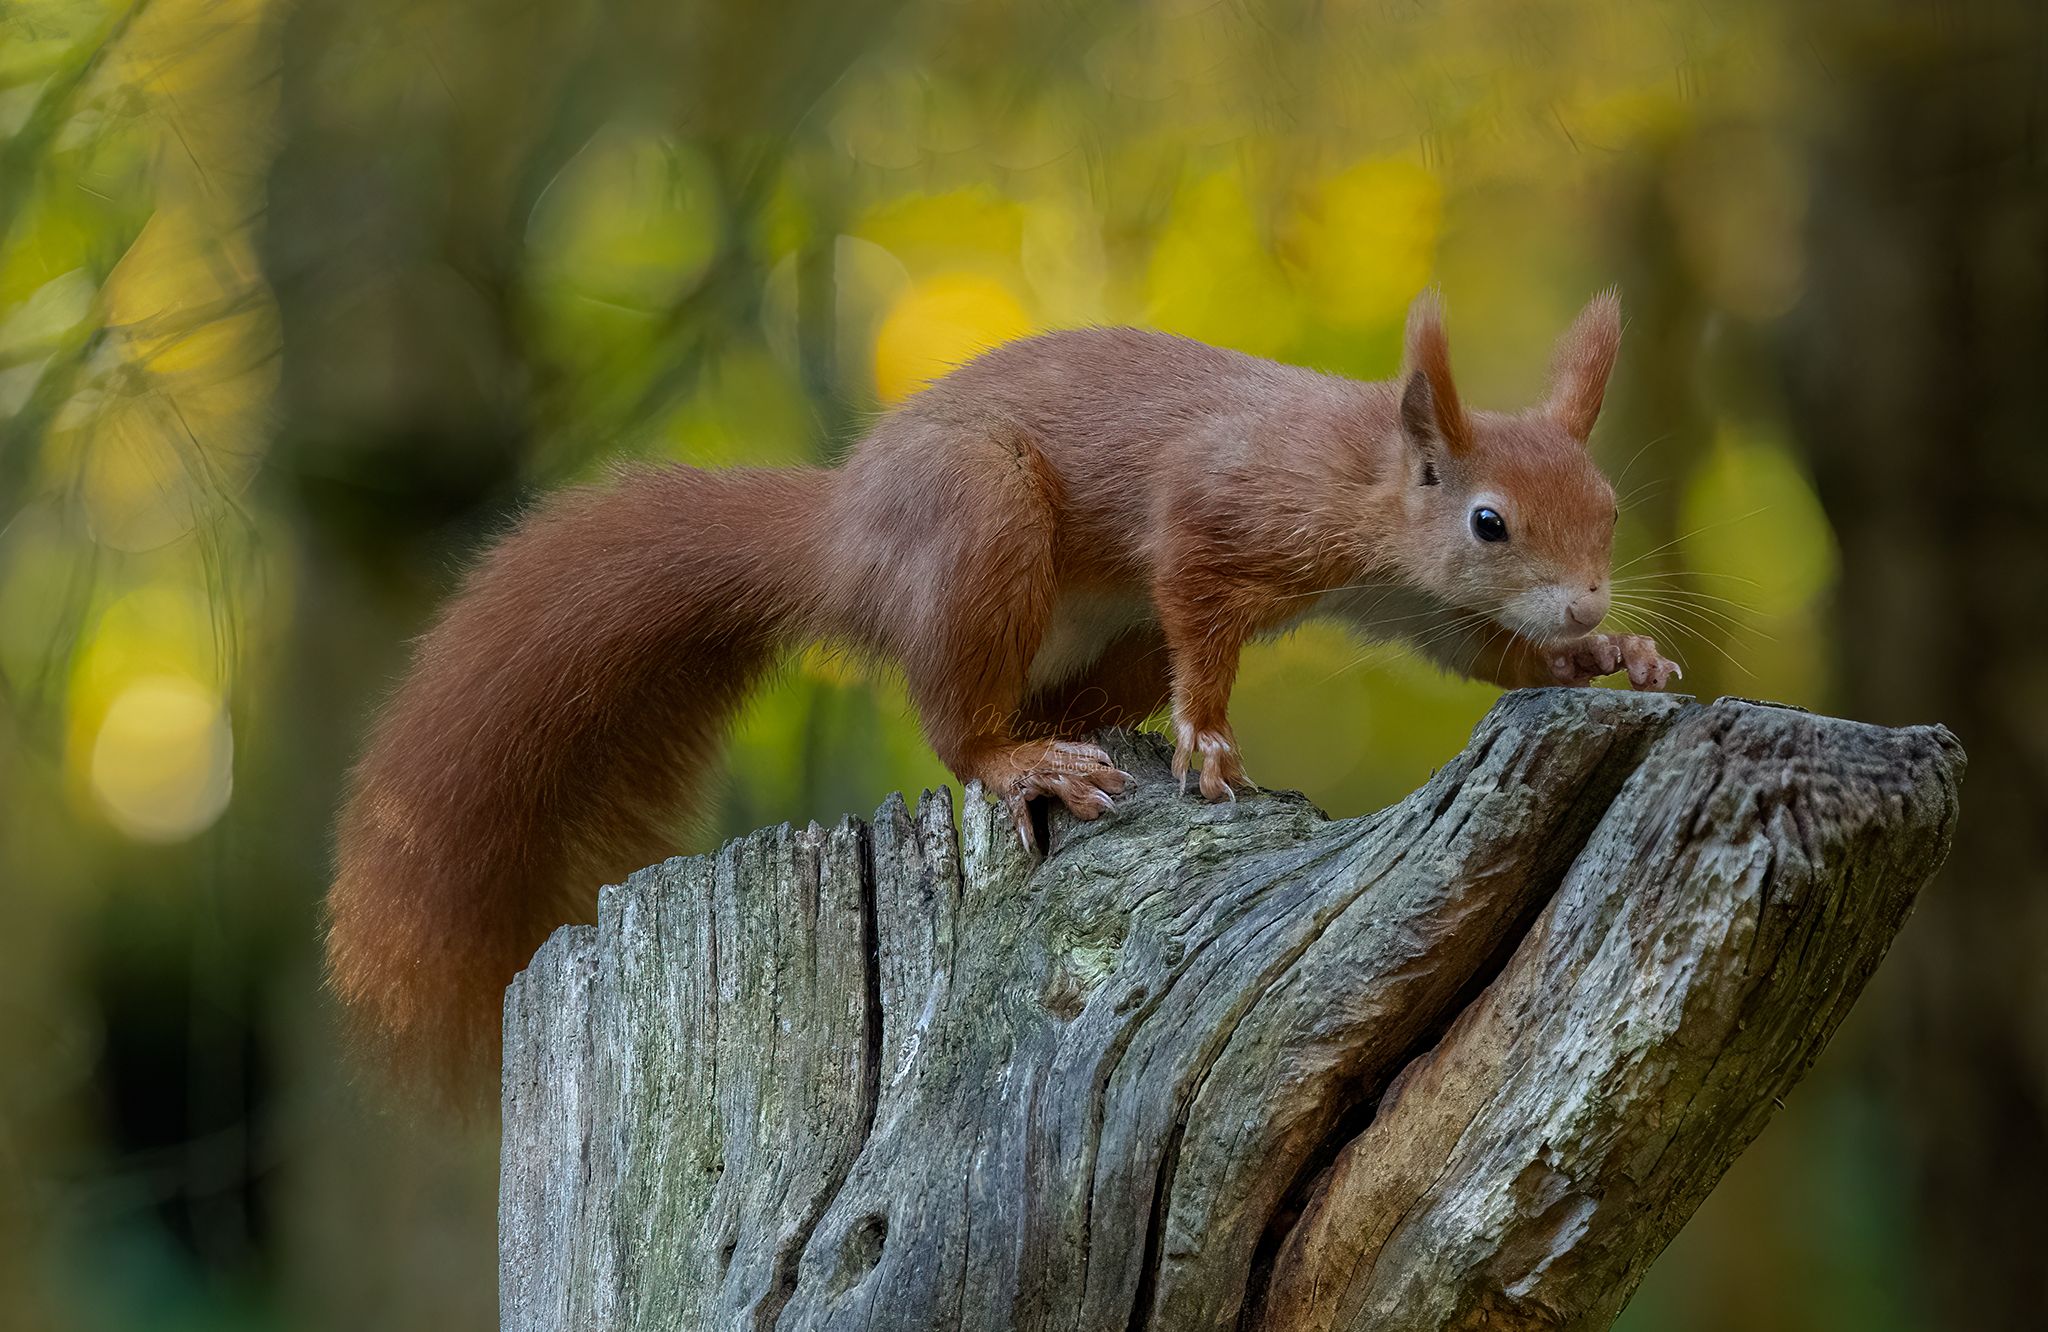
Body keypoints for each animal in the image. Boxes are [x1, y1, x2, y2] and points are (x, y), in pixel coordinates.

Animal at [327, 290, 1671, 1090]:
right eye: (1489, 521)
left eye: (1607, 512)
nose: (1585, 603)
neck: (1368, 481)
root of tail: (842, 542)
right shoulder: (1218, 513)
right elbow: (1201, 609)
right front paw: (1208, 738)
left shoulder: (1423, 609)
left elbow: (1485, 656)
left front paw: (1617, 661)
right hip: (979, 526)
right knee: (957, 726)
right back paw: (1025, 759)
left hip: (1100, 629)